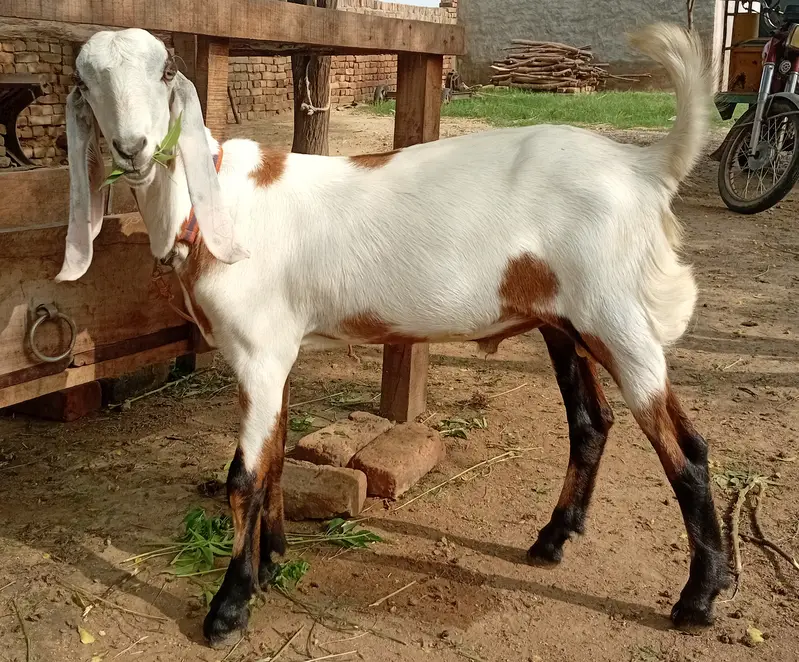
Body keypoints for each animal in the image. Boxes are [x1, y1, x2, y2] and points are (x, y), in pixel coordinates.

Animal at [58, 24, 729, 645]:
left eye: (168, 69)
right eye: (84, 81)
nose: (133, 147)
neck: (217, 204)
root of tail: (641, 167)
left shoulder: (255, 352)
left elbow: (244, 477)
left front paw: (230, 604)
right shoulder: (277, 352)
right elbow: (275, 458)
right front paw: (272, 561)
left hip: (618, 317)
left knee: (687, 450)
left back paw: (699, 597)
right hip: (563, 319)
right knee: (592, 422)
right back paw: (552, 539)